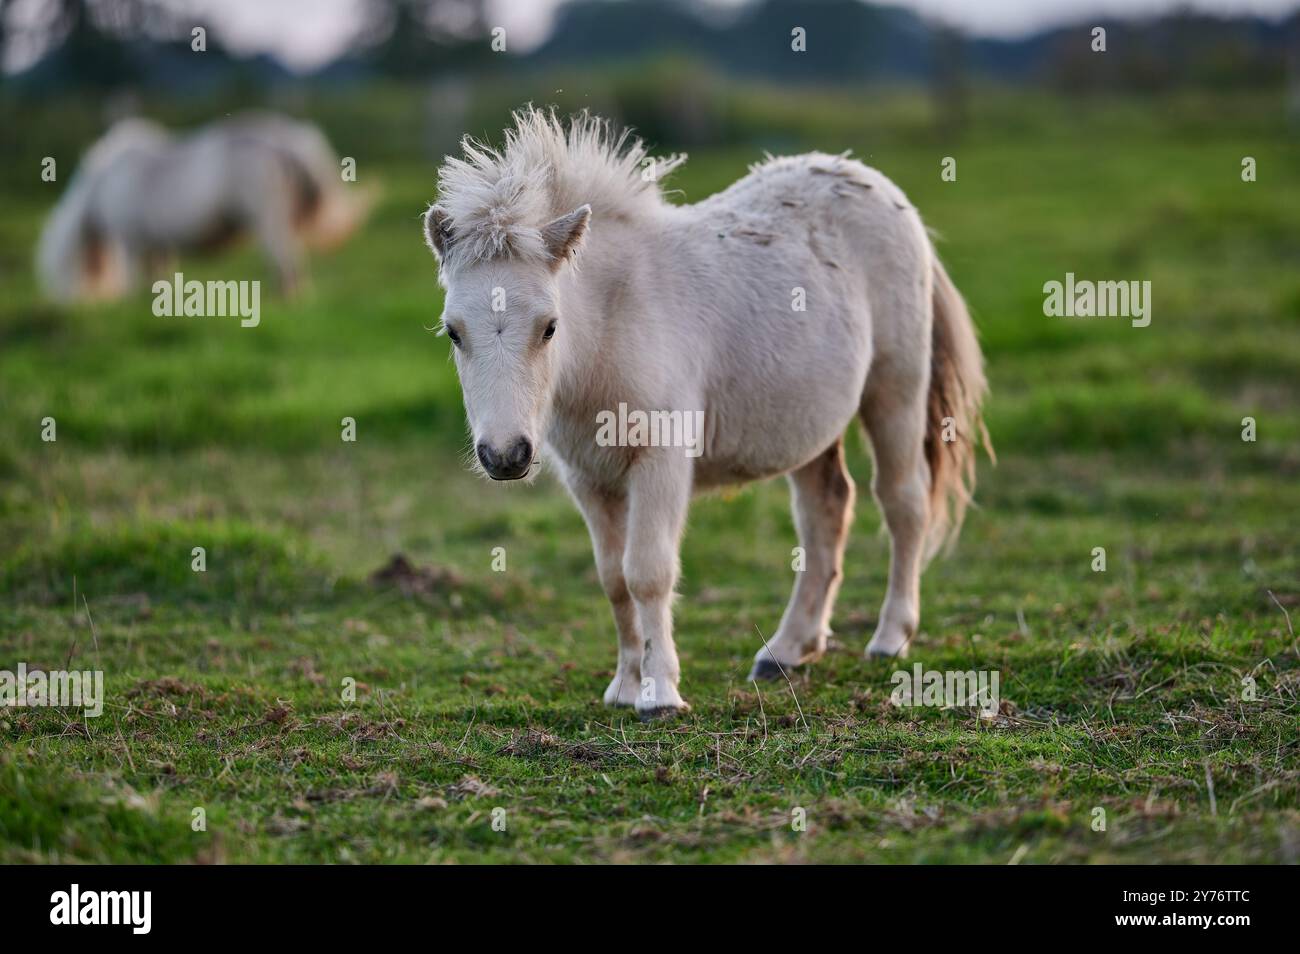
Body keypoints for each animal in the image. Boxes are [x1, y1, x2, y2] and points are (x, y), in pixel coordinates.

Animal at [421, 106, 987, 717]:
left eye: (549, 327)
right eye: (453, 332)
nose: (505, 456)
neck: (613, 323)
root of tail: (879, 186)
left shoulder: (662, 459)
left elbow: (647, 572)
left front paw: (660, 692)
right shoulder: (589, 478)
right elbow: (612, 578)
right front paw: (624, 686)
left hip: (896, 388)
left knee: (903, 501)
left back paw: (889, 638)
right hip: (806, 419)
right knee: (827, 510)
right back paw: (787, 651)